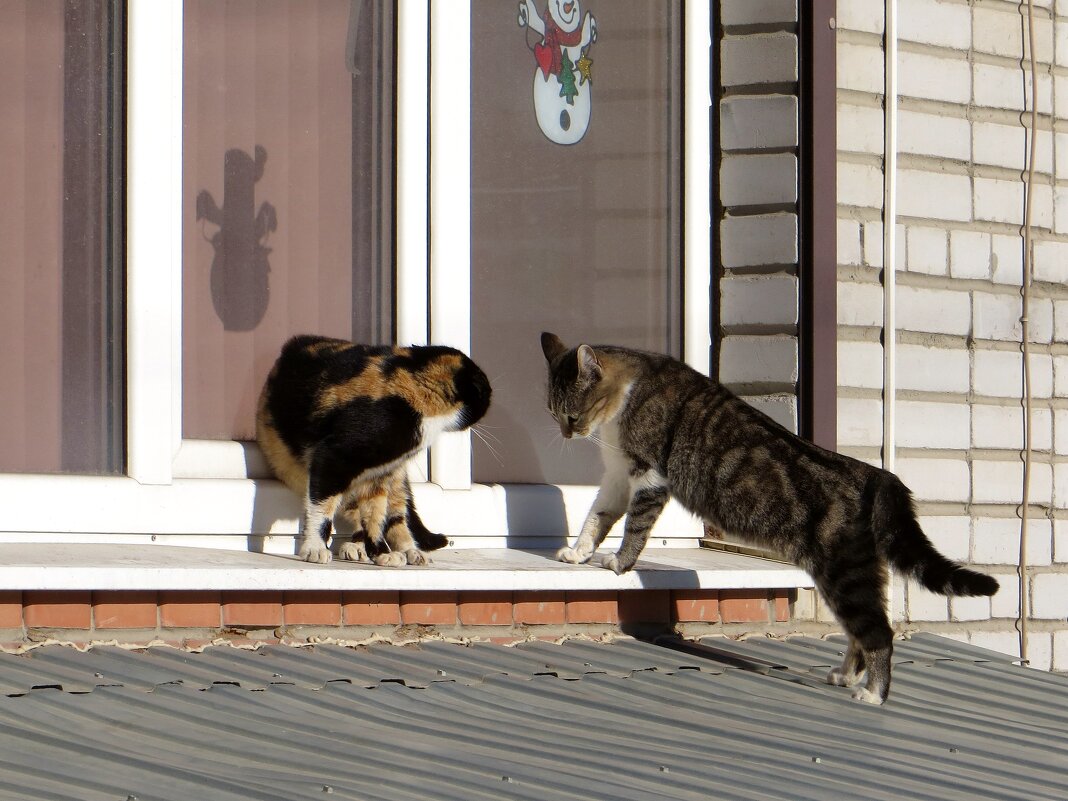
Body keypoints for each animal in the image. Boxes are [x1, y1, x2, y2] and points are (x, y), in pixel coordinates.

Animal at [258, 335, 491, 568]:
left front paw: (381, 552)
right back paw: (359, 548)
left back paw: (409, 551)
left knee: (396, 516)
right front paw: (315, 548)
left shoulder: (378, 475)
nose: (490, 395)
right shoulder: (333, 459)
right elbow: (322, 510)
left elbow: (375, 516)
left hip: (392, 482)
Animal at [542, 331, 999, 700]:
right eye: (553, 413)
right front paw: (577, 554)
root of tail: (877, 474)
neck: (629, 390)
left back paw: (873, 694)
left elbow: (634, 526)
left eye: (572, 414)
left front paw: (619, 563)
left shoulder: (647, 475)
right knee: (862, 629)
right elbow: (597, 516)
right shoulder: (617, 476)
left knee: (879, 632)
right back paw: (847, 676)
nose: (565, 434)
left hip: (845, 574)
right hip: (851, 576)